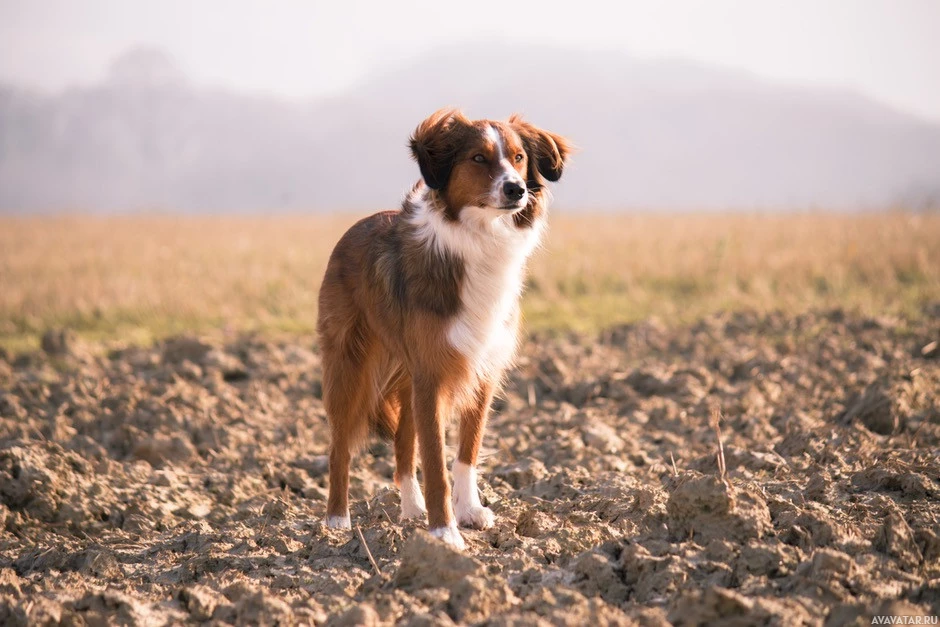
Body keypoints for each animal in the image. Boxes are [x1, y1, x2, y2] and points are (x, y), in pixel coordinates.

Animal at [316, 108, 568, 548]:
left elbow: (466, 453)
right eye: (478, 158)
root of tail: (353, 229)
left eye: (519, 157)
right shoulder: (432, 375)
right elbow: (435, 458)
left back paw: (411, 508)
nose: (516, 190)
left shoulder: (481, 370)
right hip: (349, 366)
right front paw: (444, 531)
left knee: (403, 442)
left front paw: (469, 512)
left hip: (406, 374)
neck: (481, 237)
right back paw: (337, 520)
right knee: (340, 446)